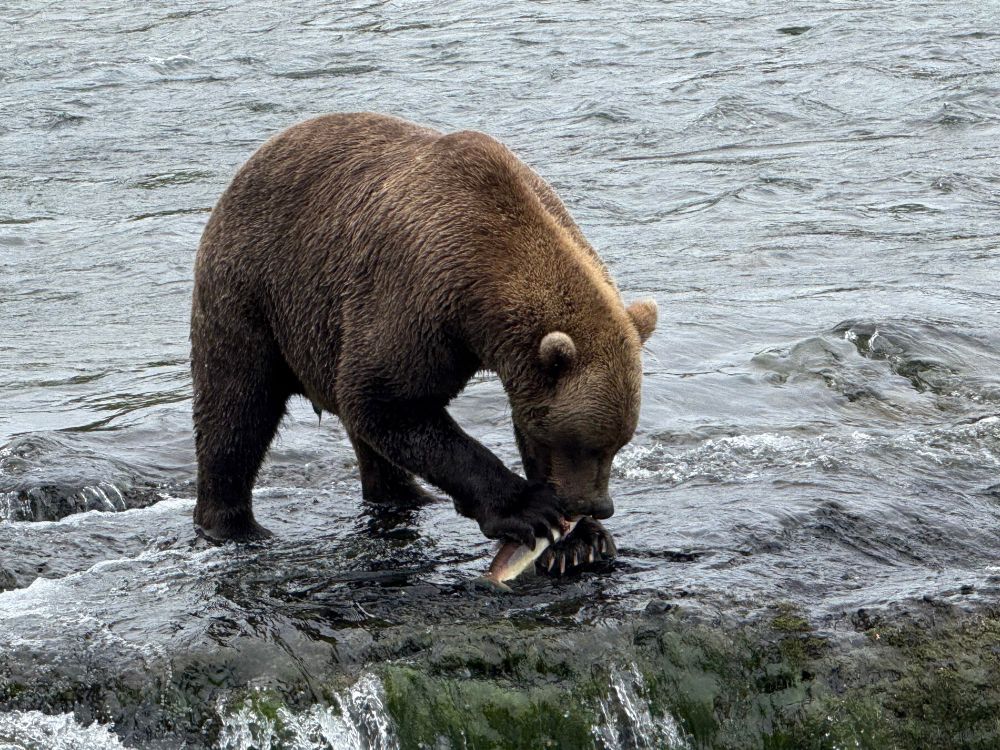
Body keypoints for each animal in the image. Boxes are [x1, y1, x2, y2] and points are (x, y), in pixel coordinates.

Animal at [190, 112, 656, 572]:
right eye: (585, 444)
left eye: (619, 443)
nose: (596, 505)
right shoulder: (416, 297)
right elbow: (389, 401)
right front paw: (529, 510)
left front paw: (581, 542)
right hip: (252, 293)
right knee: (237, 407)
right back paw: (234, 526)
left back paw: (407, 495)